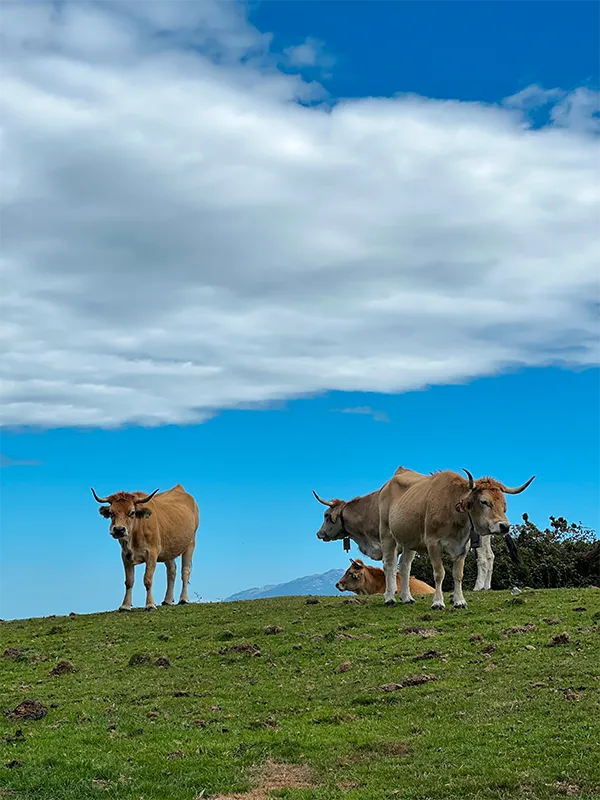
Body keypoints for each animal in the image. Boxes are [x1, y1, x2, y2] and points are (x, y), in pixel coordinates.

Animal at [91, 484, 199, 612]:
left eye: (132, 512)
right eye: (112, 513)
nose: (118, 529)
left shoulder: (152, 554)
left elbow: (147, 579)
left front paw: (150, 604)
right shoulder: (125, 555)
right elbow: (129, 581)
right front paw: (125, 605)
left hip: (190, 543)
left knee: (185, 571)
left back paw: (183, 599)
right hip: (168, 549)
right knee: (171, 571)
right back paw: (168, 600)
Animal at [312, 466, 516, 594]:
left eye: (326, 515)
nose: (319, 533)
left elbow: (392, 567)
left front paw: (393, 591)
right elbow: (403, 567)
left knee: (482, 559)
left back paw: (478, 586)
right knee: (489, 556)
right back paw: (486, 586)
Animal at [378, 467, 535, 609]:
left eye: (504, 504)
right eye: (484, 501)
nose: (504, 526)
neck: (451, 507)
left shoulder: (463, 547)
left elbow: (458, 575)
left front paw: (459, 601)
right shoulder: (433, 544)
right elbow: (439, 573)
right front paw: (437, 602)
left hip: (409, 541)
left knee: (404, 566)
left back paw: (407, 598)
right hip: (387, 534)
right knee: (389, 565)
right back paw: (389, 598)